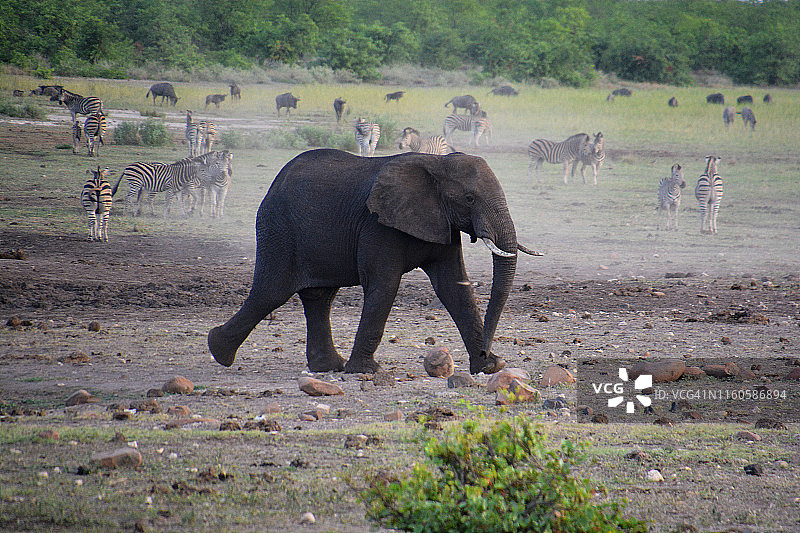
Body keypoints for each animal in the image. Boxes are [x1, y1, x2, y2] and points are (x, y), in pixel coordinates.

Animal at [208, 148, 538, 375]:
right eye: (469, 199)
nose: (486, 354)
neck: (436, 164)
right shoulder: (377, 225)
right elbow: (384, 285)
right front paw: (367, 371)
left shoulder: (442, 223)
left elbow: (453, 287)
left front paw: (491, 368)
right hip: (277, 228)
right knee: (270, 292)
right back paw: (218, 351)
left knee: (319, 296)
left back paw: (329, 366)